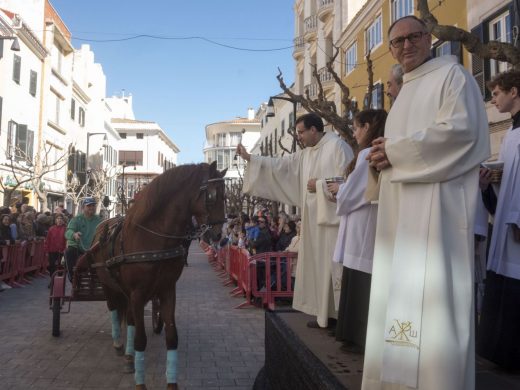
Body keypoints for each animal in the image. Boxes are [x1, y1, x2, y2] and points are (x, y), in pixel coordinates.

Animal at [85, 162, 225, 390]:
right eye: (212, 195)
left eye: (226, 195)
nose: (219, 234)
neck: (153, 237)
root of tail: (101, 226)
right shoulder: (137, 293)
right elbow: (141, 339)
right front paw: (140, 383)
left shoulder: (167, 290)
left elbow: (171, 337)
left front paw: (171, 384)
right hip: (108, 286)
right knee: (114, 310)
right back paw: (118, 344)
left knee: (129, 318)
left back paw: (129, 356)